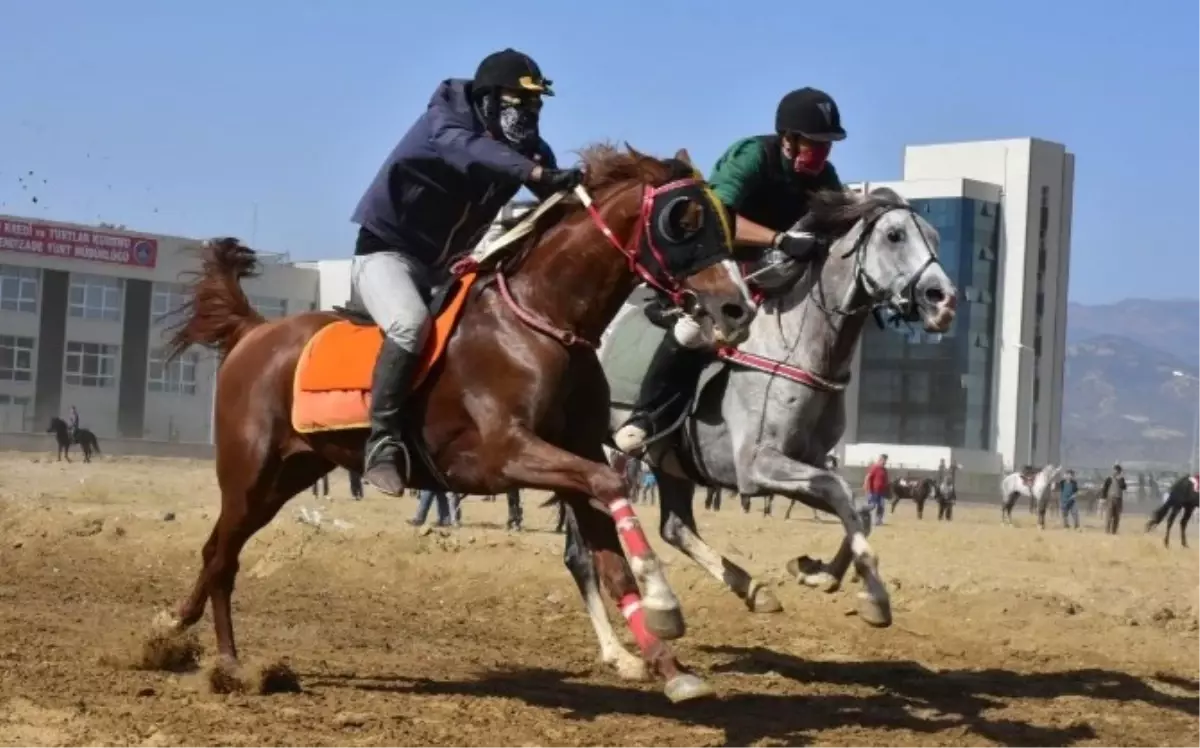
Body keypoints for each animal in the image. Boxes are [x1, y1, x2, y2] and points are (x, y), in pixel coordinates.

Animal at [147, 144, 748, 701]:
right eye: (683, 220)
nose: (736, 309)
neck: (539, 323)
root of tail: (254, 330)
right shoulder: (501, 456)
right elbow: (610, 487)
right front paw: (665, 604)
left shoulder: (576, 453)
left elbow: (610, 555)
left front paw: (669, 668)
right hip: (248, 475)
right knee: (221, 556)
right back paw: (218, 658)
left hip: (288, 476)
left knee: (221, 552)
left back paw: (187, 635)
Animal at [552, 186, 955, 686]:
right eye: (895, 235)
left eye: (935, 236)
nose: (943, 300)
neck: (795, 349)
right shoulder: (757, 466)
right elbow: (839, 491)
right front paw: (873, 597)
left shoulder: (804, 462)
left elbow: (855, 505)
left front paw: (816, 572)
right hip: (597, 457)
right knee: (582, 554)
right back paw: (619, 652)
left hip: (669, 462)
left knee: (674, 527)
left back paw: (750, 589)